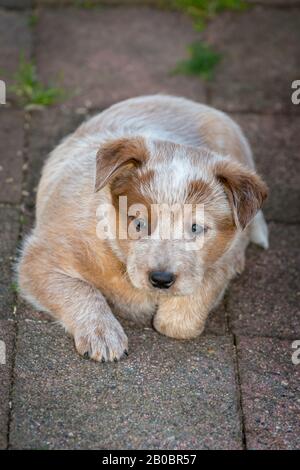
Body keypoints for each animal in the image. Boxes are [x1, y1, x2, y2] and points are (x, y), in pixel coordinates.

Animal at [17, 94, 268, 360]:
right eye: (139, 223)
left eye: (196, 228)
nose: (161, 279)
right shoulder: (39, 260)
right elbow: (81, 290)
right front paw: (102, 334)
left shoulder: (220, 260)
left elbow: (182, 317)